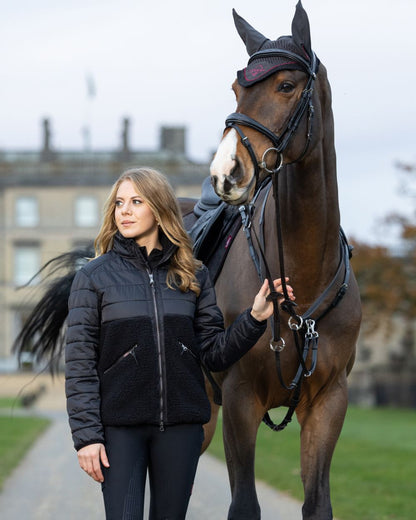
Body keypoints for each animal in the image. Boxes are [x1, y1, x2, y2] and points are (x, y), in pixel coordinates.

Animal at [204, 2, 360, 516]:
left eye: (286, 86)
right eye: (238, 87)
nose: (225, 172)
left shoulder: (329, 404)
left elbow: (318, 503)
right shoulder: (239, 402)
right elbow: (244, 505)